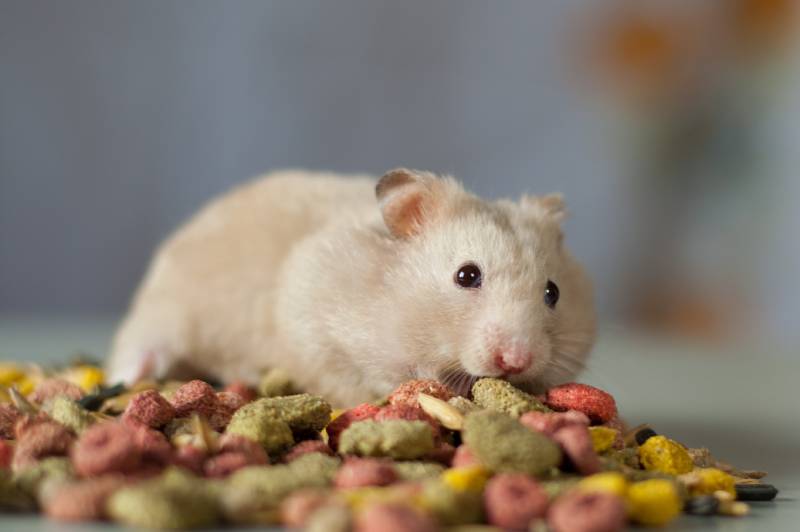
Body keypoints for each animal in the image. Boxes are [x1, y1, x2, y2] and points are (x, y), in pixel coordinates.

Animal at [106, 169, 596, 406]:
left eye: (552, 293)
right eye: (466, 275)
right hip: (165, 306)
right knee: (139, 343)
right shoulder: (316, 328)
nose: (517, 359)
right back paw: (128, 376)